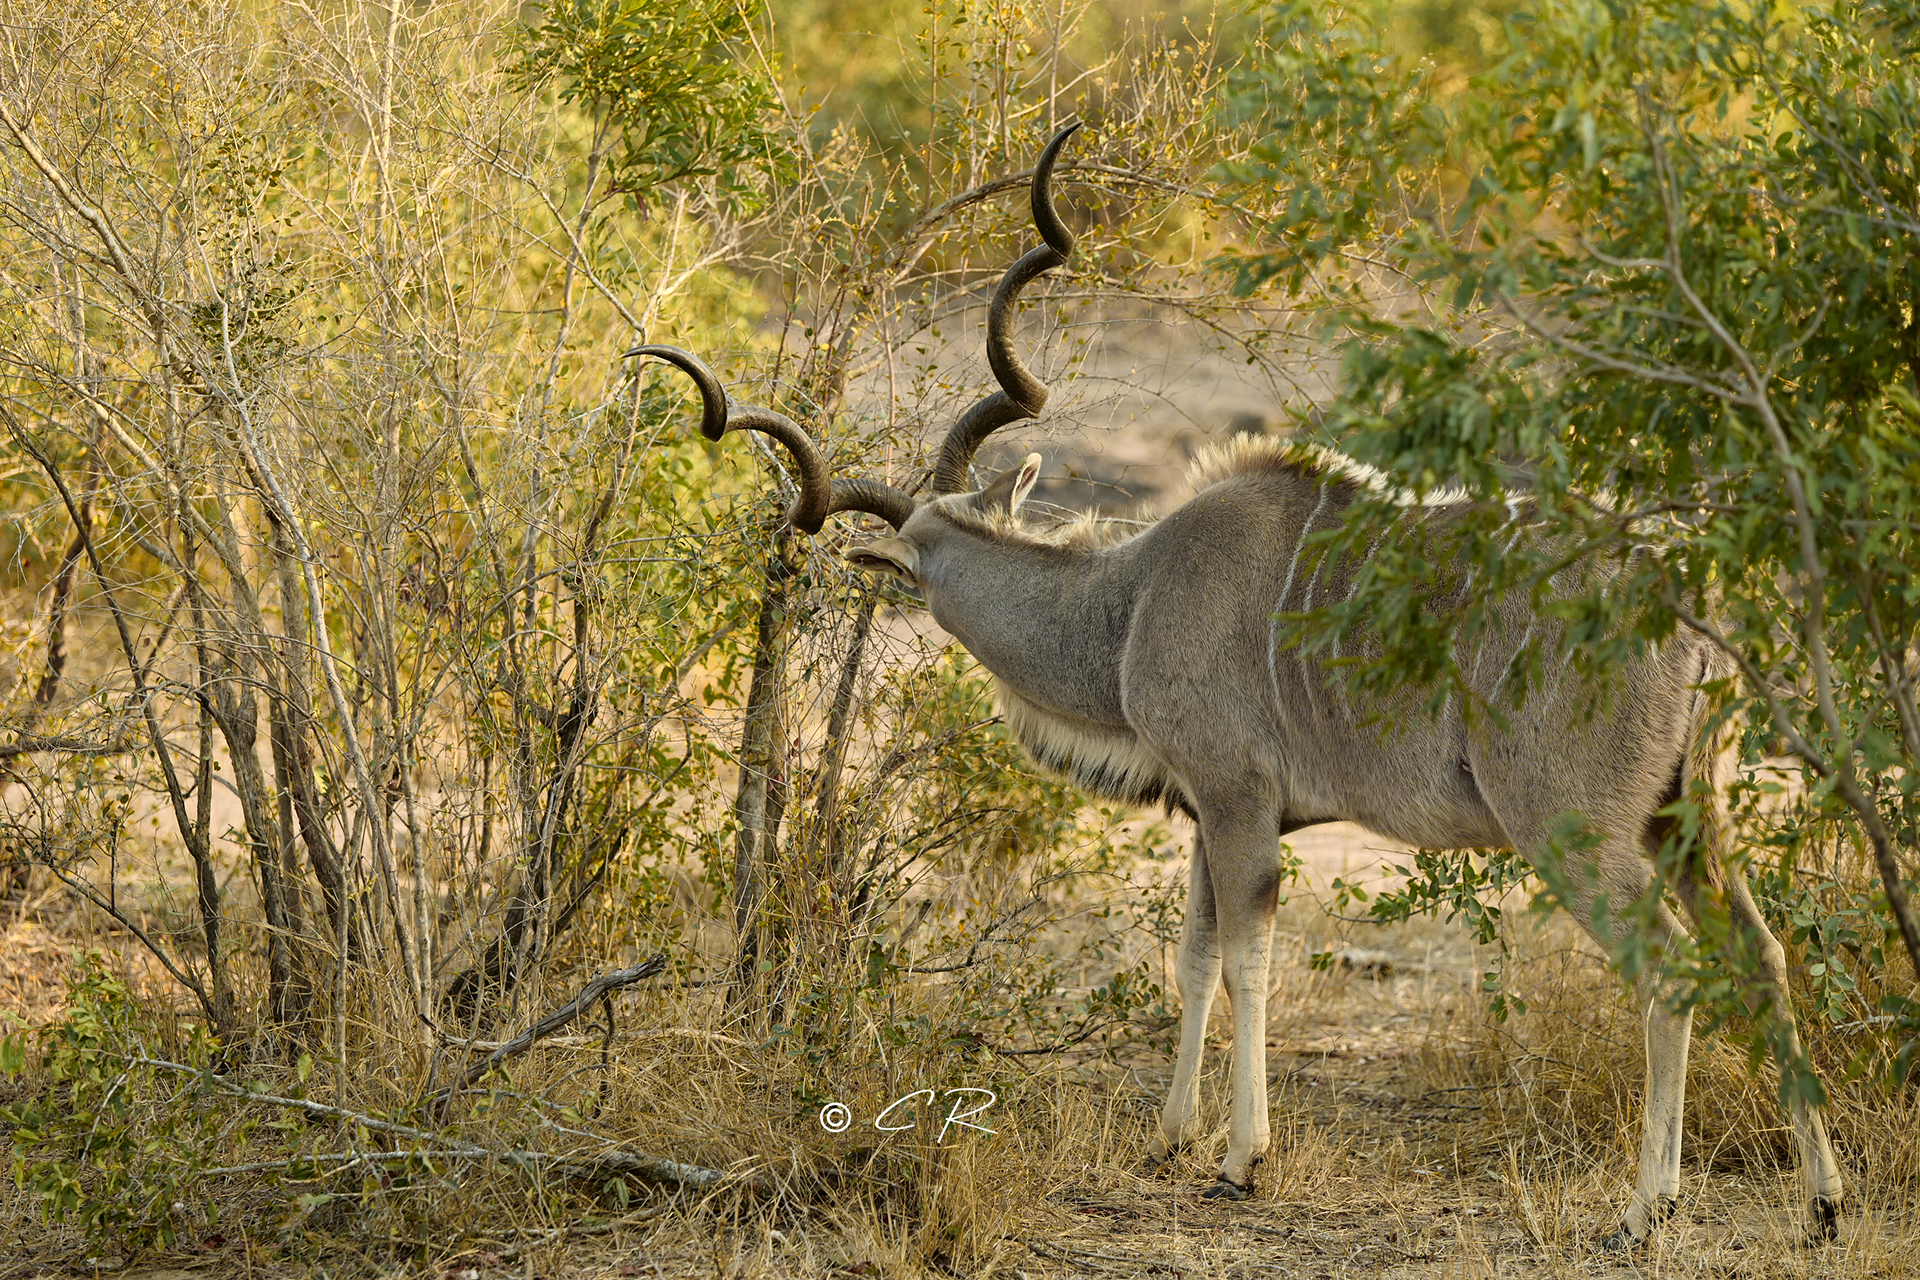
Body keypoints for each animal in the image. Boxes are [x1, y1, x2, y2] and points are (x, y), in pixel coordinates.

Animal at [629, 124, 1843, 1243]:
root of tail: (1688, 603)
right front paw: (1170, 1136)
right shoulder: (1210, 814)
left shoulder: (1239, 803)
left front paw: (1239, 1158)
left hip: (1573, 828)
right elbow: (1196, 955)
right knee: (1765, 950)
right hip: (1686, 822)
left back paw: (1645, 1207)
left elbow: (1250, 959)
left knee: (1672, 969)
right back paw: (1821, 1201)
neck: (1131, 597)